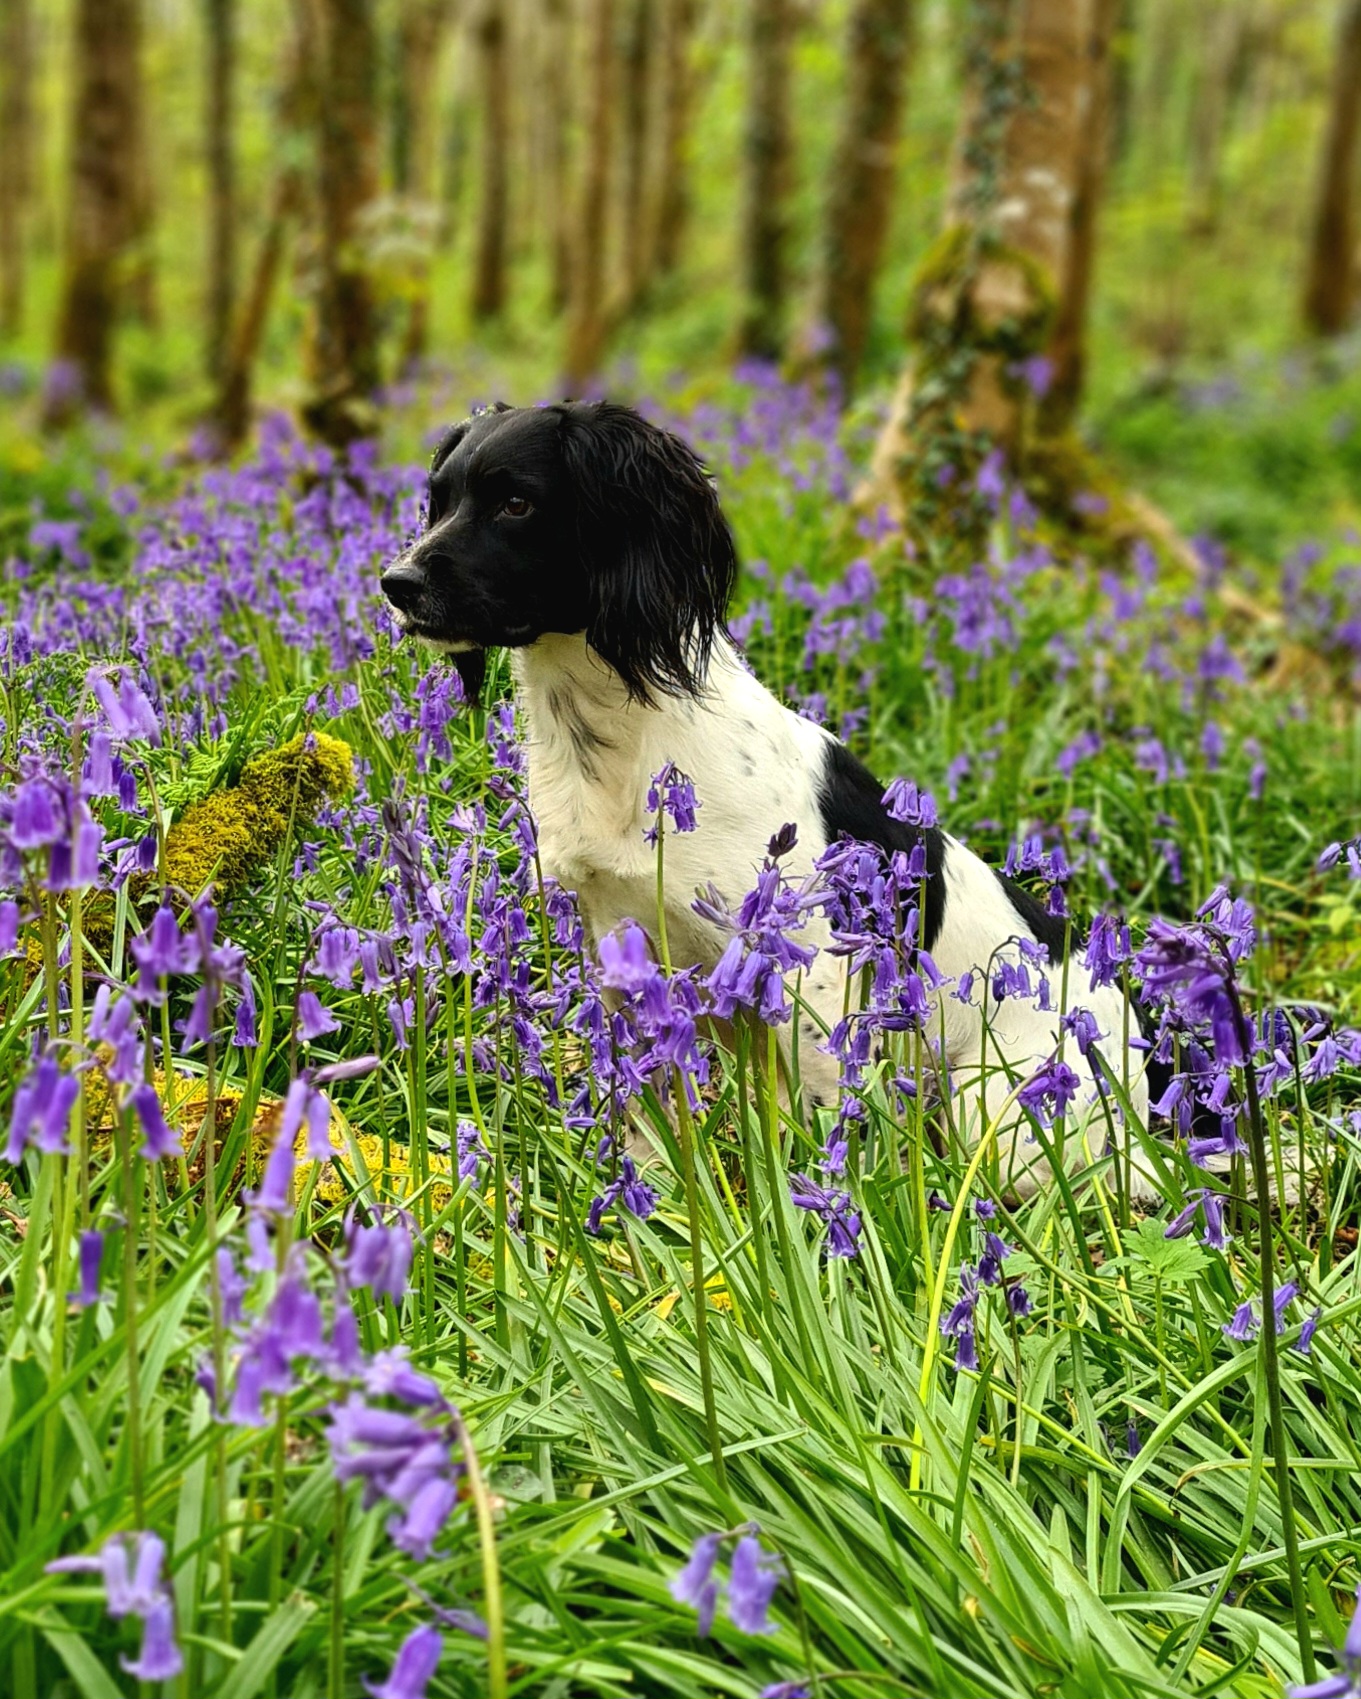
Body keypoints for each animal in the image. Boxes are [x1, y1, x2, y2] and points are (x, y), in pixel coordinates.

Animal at [382, 400, 1155, 1196]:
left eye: (516, 503)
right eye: (438, 499)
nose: (395, 582)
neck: (624, 738)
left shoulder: (811, 976)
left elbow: (831, 1126)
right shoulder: (619, 947)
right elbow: (649, 1118)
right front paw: (657, 1203)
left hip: (1002, 1113)